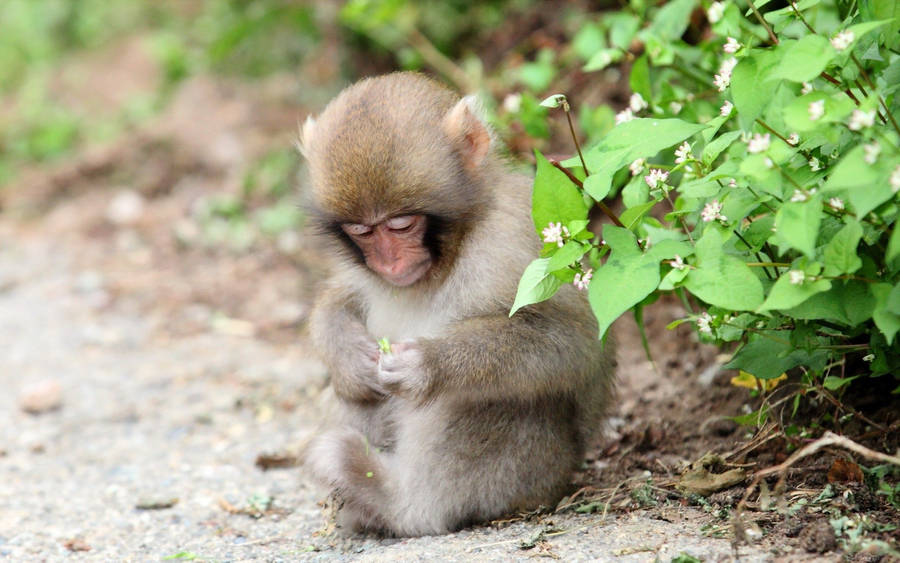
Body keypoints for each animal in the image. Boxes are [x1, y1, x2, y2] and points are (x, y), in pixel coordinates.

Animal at [299, 72, 615, 537]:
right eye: (362, 231)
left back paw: (397, 503)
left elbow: (573, 342)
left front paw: (428, 364)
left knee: (490, 401)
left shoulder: (510, 241)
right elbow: (340, 298)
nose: (389, 263)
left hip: (527, 476)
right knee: (359, 397)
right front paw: (350, 357)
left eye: (401, 224)